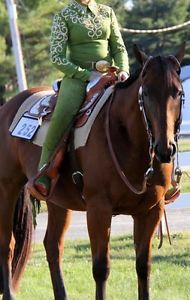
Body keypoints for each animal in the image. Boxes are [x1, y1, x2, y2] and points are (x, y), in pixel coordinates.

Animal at [0, 45, 185, 300]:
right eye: (146, 93)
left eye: (178, 92)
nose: (164, 148)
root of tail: (9, 105)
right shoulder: (98, 209)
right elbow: (101, 267)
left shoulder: (150, 211)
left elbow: (143, 266)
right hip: (7, 188)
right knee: (7, 245)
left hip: (57, 201)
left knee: (52, 245)